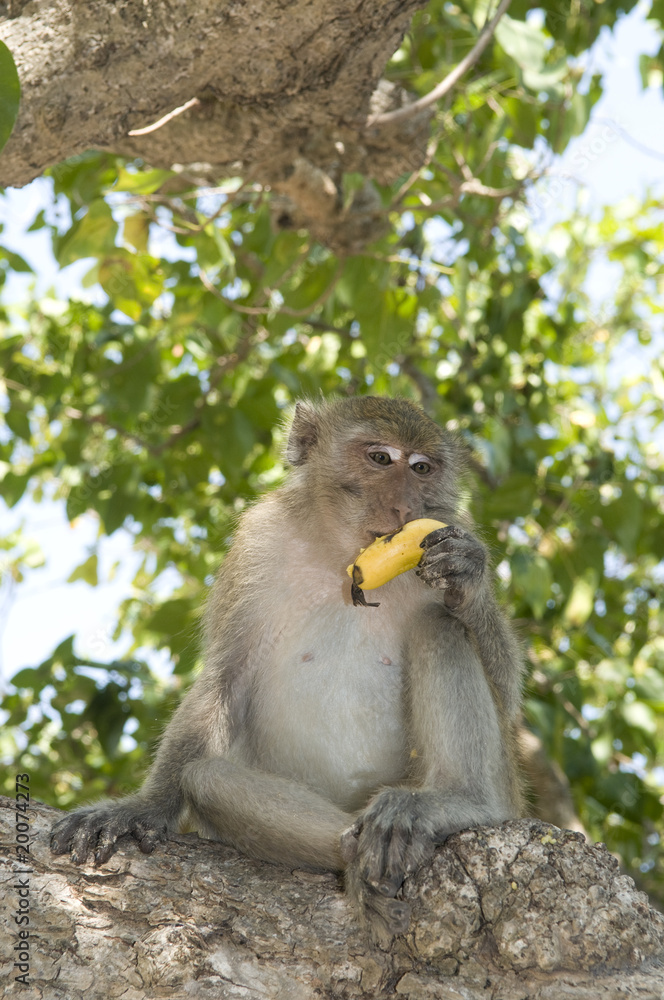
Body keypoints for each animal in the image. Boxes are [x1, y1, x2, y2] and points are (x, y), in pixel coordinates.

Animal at [51, 396, 525, 946]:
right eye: (380, 459)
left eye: (422, 468)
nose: (407, 507)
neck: (346, 557)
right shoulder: (260, 541)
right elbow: (226, 676)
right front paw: (144, 809)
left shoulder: (452, 526)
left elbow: (507, 698)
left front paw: (466, 572)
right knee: (208, 777)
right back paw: (354, 858)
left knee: (439, 626)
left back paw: (454, 801)